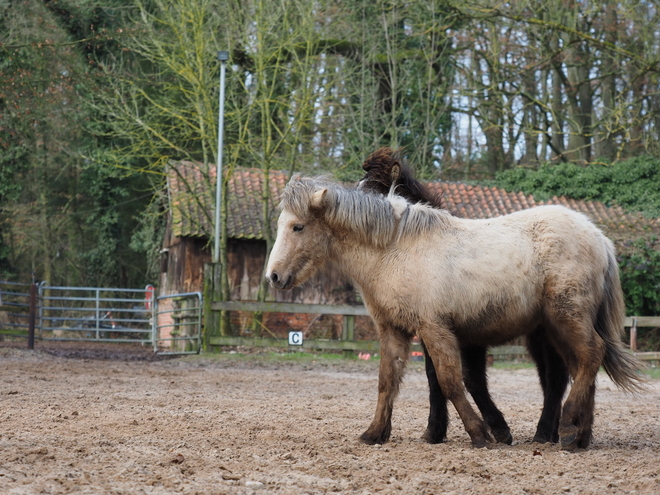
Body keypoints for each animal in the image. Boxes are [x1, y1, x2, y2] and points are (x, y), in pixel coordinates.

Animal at [360, 147, 568, 446]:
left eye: (376, 191)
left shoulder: (468, 337)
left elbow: (469, 379)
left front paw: (498, 429)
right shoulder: (433, 330)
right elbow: (434, 376)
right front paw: (435, 431)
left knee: (555, 377)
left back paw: (544, 432)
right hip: (537, 336)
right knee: (550, 377)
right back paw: (551, 431)